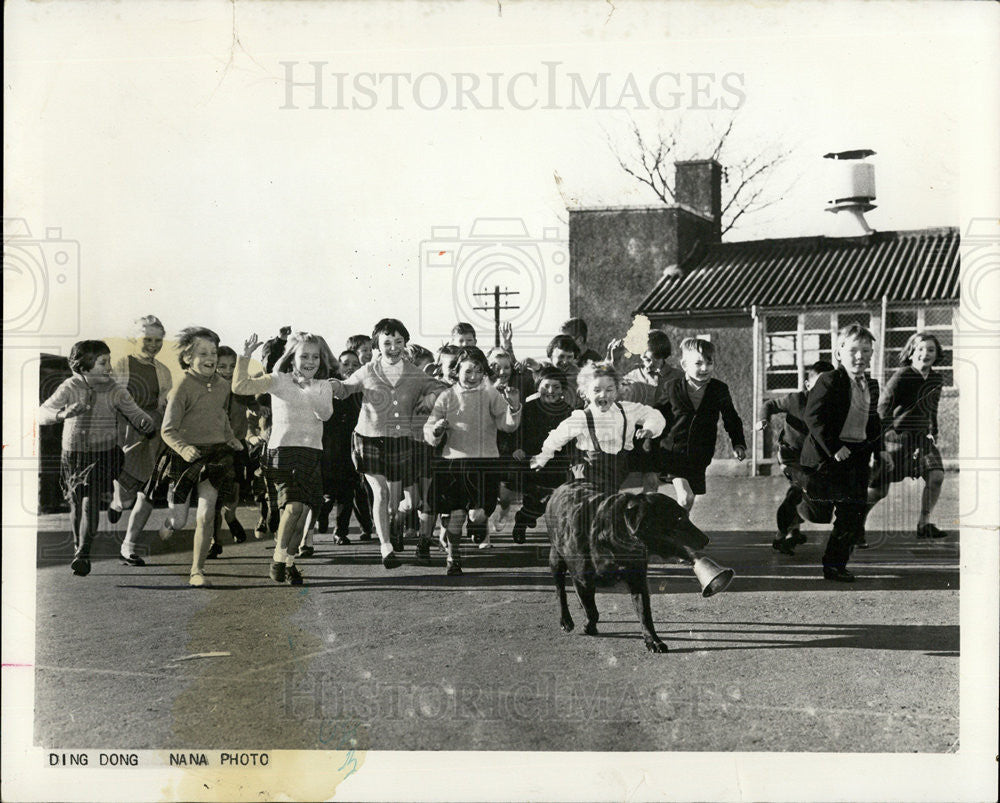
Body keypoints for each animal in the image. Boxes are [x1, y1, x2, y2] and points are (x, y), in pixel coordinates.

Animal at [548, 484, 712, 652]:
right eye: (679, 518)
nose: (706, 539)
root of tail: (562, 487)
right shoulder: (581, 579)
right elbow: (593, 612)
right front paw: (589, 626)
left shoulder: (638, 582)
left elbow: (645, 615)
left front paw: (653, 641)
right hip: (556, 559)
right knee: (560, 591)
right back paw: (566, 620)